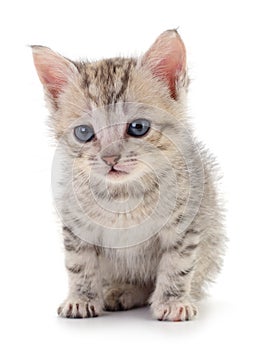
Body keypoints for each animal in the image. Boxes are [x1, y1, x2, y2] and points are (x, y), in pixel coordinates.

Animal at [31, 30, 225, 322]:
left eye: (138, 127)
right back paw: (119, 290)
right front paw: (81, 298)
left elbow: (177, 263)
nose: (110, 158)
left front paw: (172, 301)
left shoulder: (186, 220)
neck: (123, 195)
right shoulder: (76, 222)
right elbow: (79, 263)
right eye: (84, 133)